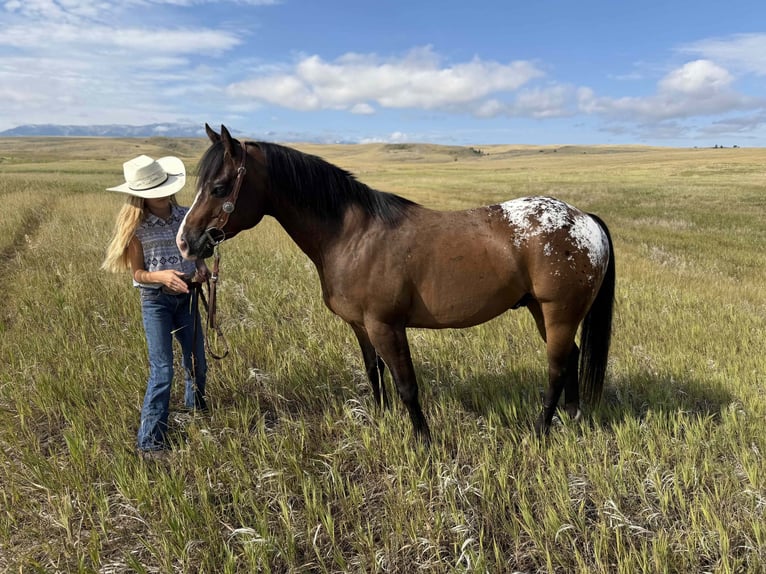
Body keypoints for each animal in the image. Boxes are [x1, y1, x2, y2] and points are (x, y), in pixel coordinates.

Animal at [177, 124, 615, 443]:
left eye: (218, 187)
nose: (186, 241)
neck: (353, 235)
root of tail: (585, 220)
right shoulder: (361, 326)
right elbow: (375, 374)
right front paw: (383, 420)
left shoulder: (386, 326)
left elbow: (407, 385)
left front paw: (423, 441)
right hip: (543, 313)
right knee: (571, 357)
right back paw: (573, 419)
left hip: (558, 314)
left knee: (557, 366)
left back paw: (540, 431)